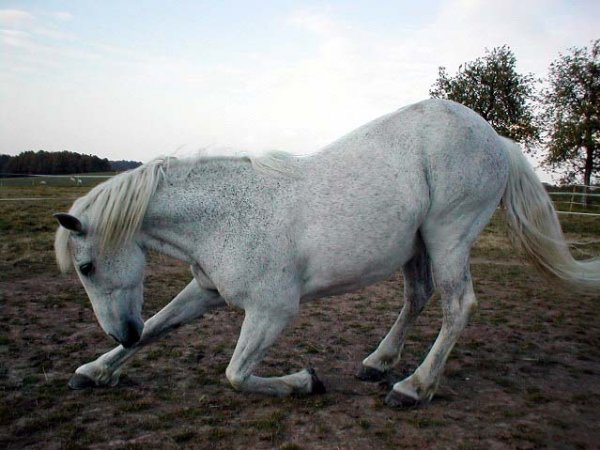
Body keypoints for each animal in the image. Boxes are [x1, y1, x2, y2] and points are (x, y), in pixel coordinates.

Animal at [54, 100, 596, 406]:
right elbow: (160, 326)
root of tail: (496, 138)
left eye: (87, 266)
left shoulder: (272, 311)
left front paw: (304, 382)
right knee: (417, 299)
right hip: (418, 245)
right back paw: (378, 363)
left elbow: (235, 374)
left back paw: (413, 388)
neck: (222, 216)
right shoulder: (206, 290)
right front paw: (95, 371)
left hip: (449, 236)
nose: (121, 331)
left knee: (457, 306)